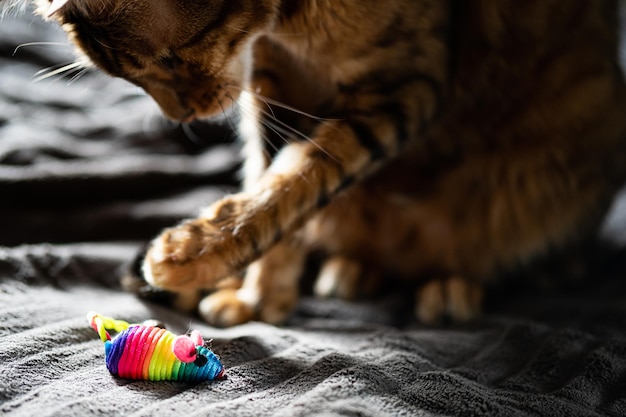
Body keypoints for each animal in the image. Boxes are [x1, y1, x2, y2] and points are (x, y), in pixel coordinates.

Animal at [4, 0, 624, 324]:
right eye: (133, 76)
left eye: (171, 59)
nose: (182, 117)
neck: (283, 22)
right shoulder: (275, 85)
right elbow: (276, 193)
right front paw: (258, 298)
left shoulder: (403, 84)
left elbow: (298, 179)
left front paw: (194, 254)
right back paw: (351, 271)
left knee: (493, 252)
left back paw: (452, 287)